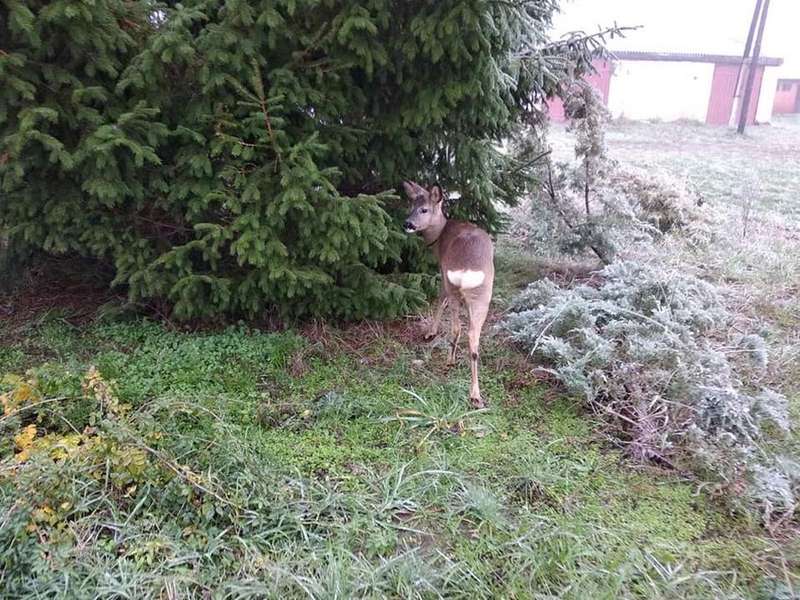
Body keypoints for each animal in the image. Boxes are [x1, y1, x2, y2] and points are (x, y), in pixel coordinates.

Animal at [400, 182, 494, 408]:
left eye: (424, 209)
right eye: (410, 205)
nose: (407, 224)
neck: (440, 234)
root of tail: (467, 269)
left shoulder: (442, 271)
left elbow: (439, 300)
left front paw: (430, 332)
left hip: (454, 286)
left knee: (456, 327)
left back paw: (450, 361)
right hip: (482, 296)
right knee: (472, 338)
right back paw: (475, 395)